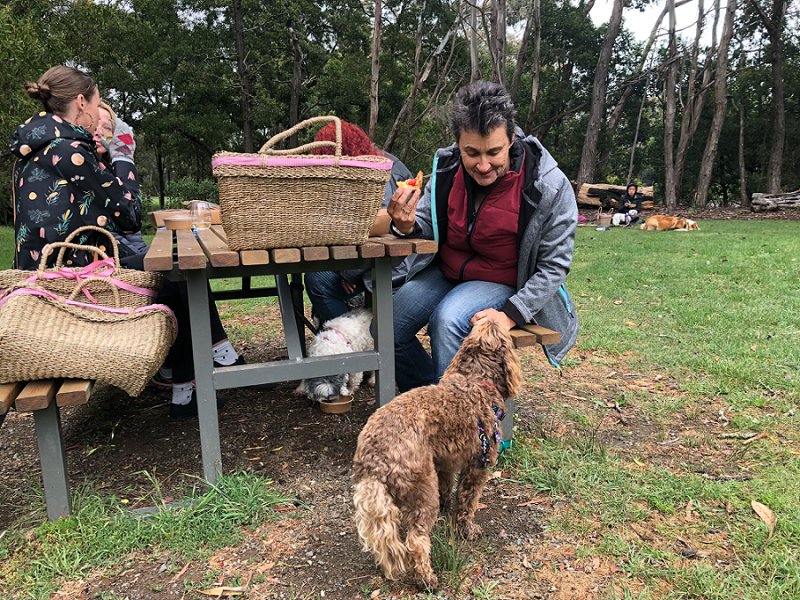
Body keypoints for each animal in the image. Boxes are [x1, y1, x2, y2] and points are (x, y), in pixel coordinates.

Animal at [354, 322, 520, 588]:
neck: (477, 382)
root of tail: (375, 460)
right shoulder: (478, 464)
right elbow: (466, 502)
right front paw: (467, 530)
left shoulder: (444, 463)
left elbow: (447, 487)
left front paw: (446, 508)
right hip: (422, 488)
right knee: (416, 540)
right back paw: (426, 579)